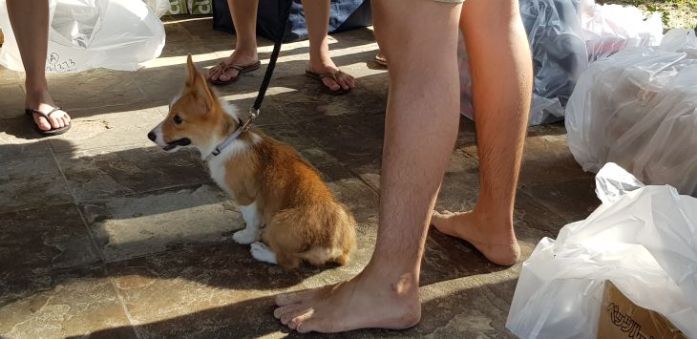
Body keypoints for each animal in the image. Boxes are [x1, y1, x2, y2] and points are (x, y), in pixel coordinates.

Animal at [145, 56, 354, 270]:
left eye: (178, 119)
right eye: (168, 111)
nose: (150, 136)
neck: (225, 141)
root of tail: (334, 247)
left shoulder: (246, 196)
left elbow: (250, 221)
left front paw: (245, 237)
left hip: (279, 221)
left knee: (289, 261)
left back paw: (261, 251)